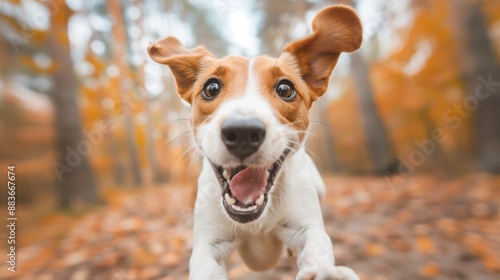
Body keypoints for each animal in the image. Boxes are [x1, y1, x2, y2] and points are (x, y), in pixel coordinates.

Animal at [146, 4, 362, 280]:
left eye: (285, 89)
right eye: (211, 88)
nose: (243, 132)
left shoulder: (306, 226)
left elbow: (317, 251)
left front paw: (325, 272)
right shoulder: (208, 242)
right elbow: (205, 265)